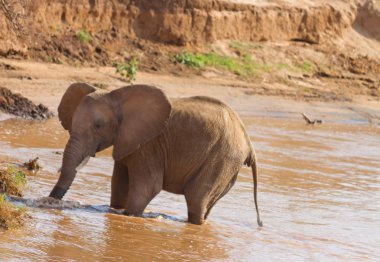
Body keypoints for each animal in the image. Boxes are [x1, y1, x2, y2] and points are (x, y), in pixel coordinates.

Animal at [49, 83, 262, 226]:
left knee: (196, 200)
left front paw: (130, 217)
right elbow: (119, 186)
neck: (118, 94)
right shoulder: (129, 141)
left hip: (222, 158)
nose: (51, 202)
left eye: (98, 126)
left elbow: (148, 187)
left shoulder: (149, 145)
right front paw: (116, 209)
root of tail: (249, 144)